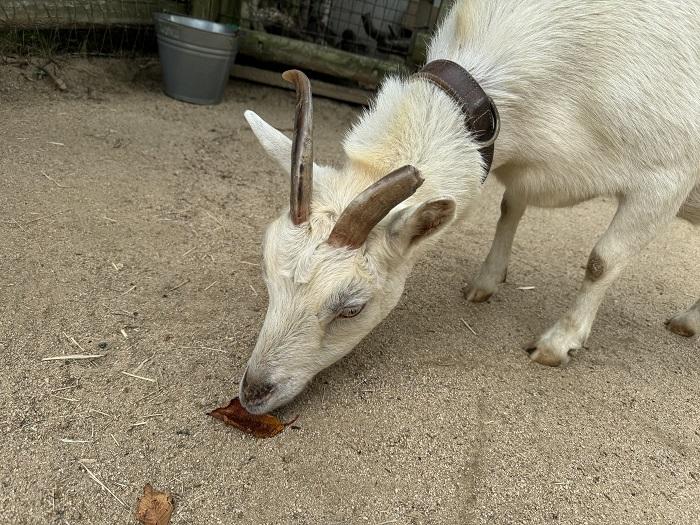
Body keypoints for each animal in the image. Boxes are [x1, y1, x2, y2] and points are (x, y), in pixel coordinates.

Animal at [238, 0, 696, 414]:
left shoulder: (667, 178)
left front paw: (557, 345)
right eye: (266, 270)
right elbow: (510, 208)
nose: (253, 393)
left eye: (352, 309)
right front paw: (485, 283)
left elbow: (602, 259)